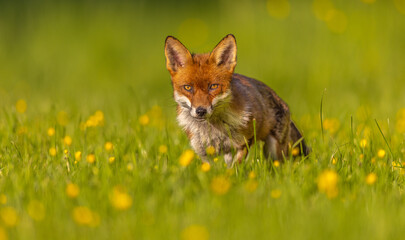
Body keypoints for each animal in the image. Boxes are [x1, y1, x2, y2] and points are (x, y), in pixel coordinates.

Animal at [163, 33, 308, 167]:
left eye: (213, 86)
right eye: (187, 87)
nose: (200, 111)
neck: (214, 130)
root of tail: (279, 99)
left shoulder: (243, 143)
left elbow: (235, 169)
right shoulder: (204, 152)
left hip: (274, 151)